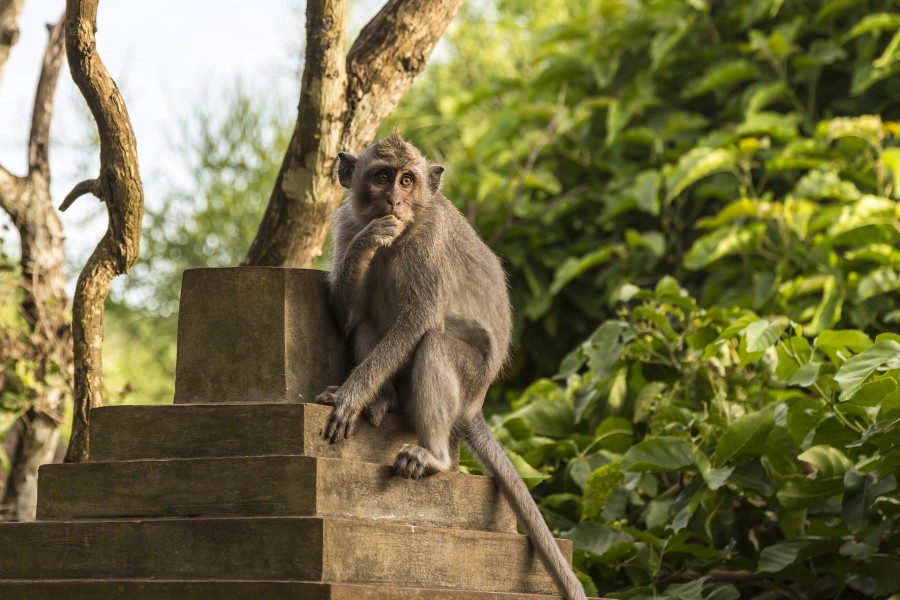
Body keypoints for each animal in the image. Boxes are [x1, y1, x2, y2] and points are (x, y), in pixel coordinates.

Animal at [314, 131, 587, 600]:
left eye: (408, 180)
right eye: (382, 177)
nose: (394, 202)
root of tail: (476, 404)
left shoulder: (430, 241)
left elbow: (421, 317)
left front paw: (350, 397)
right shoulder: (346, 224)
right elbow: (346, 313)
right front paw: (371, 239)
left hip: (471, 377)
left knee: (435, 345)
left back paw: (435, 457)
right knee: (367, 320)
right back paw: (383, 398)